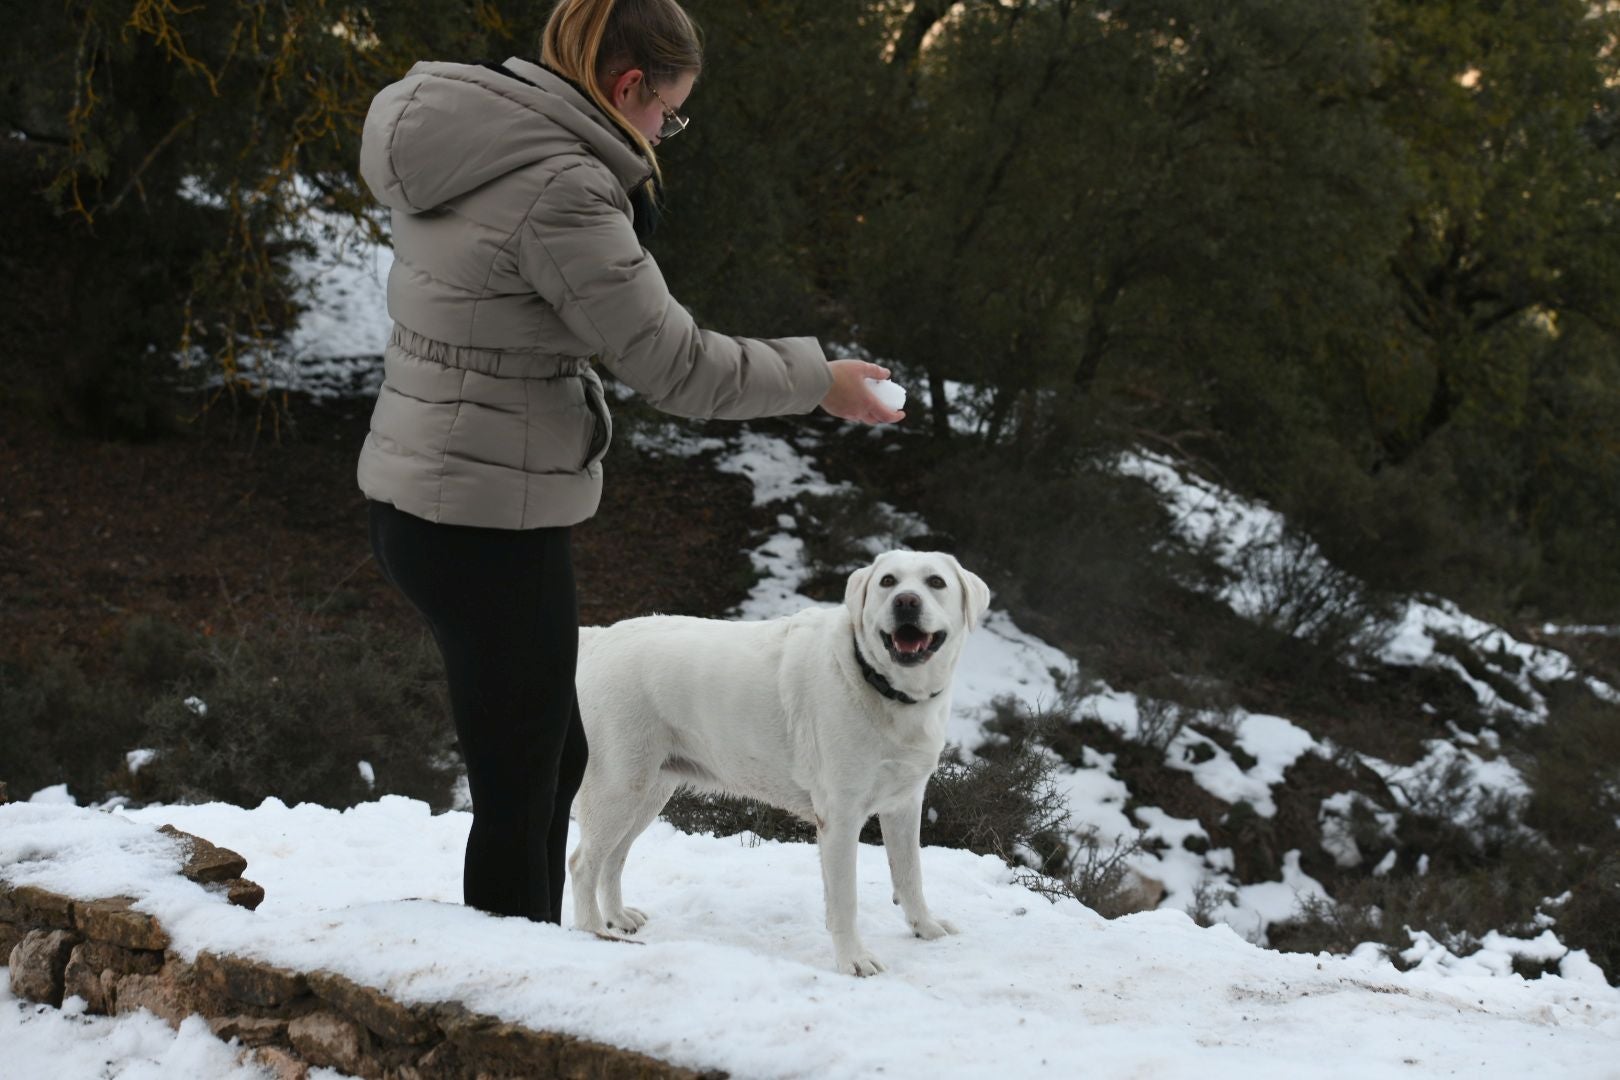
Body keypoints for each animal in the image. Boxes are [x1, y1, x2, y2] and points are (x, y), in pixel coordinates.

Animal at [570, 553, 997, 977]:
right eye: (888, 581)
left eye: (936, 582)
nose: (906, 601)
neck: (880, 685)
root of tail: (598, 638)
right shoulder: (840, 816)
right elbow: (845, 900)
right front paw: (854, 959)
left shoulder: (904, 804)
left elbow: (910, 875)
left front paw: (926, 928)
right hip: (617, 787)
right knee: (582, 864)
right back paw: (594, 932)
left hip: (648, 791)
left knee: (613, 859)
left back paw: (617, 918)